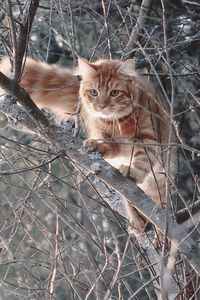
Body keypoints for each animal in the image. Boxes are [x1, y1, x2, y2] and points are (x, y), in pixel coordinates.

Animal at [0, 57, 175, 232]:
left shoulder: (149, 139)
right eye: (94, 92)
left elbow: (142, 159)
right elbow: (108, 145)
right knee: (130, 197)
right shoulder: (109, 139)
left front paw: (132, 170)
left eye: (114, 93)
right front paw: (96, 145)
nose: (101, 106)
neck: (117, 122)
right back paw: (138, 219)